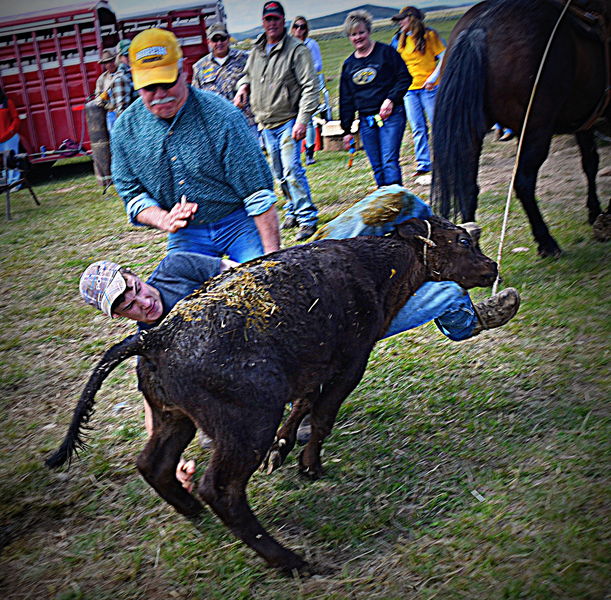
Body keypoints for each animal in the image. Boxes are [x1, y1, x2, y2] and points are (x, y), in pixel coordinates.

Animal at [432, 0, 608, 255]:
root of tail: (478, 28)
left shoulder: (584, 121)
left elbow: (590, 162)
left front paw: (595, 212)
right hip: (536, 127)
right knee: (524, 181)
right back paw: (547, 243)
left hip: (473, 130)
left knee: (468, 187)